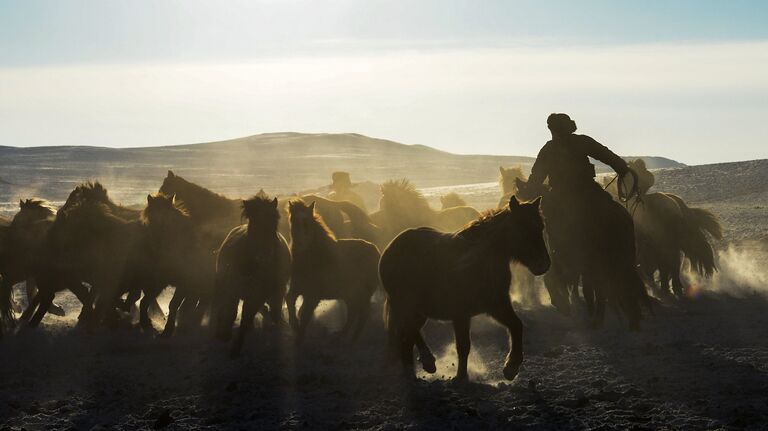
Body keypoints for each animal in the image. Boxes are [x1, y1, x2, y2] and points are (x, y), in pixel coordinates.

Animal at [213, 194, 292, 356]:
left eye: (274, 221)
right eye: (253, 222)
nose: (264, 256)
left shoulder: (257, 294)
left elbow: (246, 317)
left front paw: (236, 347)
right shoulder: (232, 288)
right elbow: (230, 310)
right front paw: (224, 334)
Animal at [286, 200, 380, 344]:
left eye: (307, 221)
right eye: (293, 220)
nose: (300, 244)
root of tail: (377, 252)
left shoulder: (313, 295)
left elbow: (305, 316)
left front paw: (299, 338)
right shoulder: (297, 288)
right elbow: (289, 300)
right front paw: (294, 325)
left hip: (362, 294)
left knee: (362, 313)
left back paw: (352, 338)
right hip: (350, 294)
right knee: (353, 312)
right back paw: (341, 336)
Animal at [380, 196, 548, 382]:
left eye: (540, 227)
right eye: (522, 228)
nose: (544, 264)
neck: (478, 262)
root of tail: (390, 248)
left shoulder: (496, 306)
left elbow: (516, 326)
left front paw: (510, 368)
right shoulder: (460, 314)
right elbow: (463, 346)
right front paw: (461, 377)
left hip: (419, 312)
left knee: (408, 337)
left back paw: (418, 369)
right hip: (407, 306)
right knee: (408, 333)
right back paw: (424, 363)